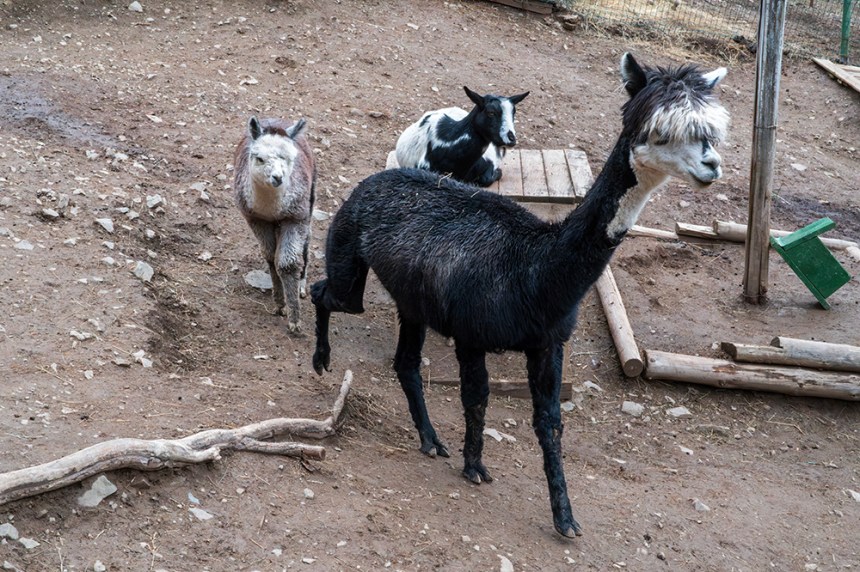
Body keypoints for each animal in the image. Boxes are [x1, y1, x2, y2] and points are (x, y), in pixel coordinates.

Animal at [233, 116, 316, 333]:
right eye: (259, 158)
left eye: (288, 159)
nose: (278, 177)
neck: (270, 209)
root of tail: (278, 121)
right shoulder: (255, 219)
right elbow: (271, 256)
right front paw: (280, 304)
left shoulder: (296, 216)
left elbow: (288, 263)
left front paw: (294, 320)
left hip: (310, 195)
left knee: (307, 240)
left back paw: (301, 284)